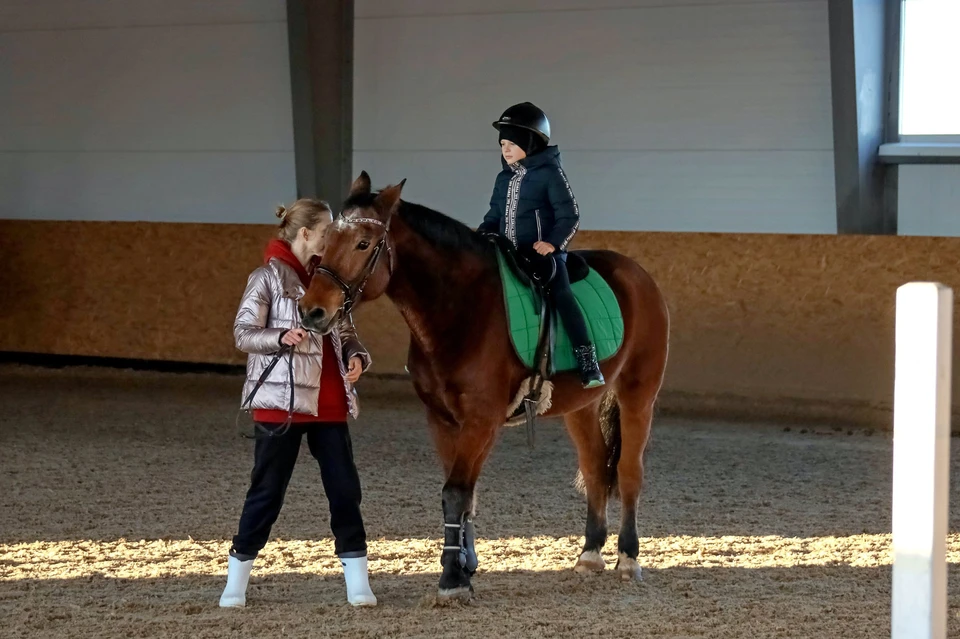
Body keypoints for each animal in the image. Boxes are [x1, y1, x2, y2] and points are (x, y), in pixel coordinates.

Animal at [300, 172, 668, 604]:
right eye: (326, 240)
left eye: (363, 243)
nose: (311, 311)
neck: (460, 309)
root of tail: (637, 272)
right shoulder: (442, 420)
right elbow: (463, 495)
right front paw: (464, 565)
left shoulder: (482, 421)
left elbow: (456, 493)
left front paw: (451, 580)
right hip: (581, 405)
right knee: (595, 466)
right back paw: (590, 554)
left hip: (638, 394)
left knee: (628, 470)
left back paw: (628, 558)